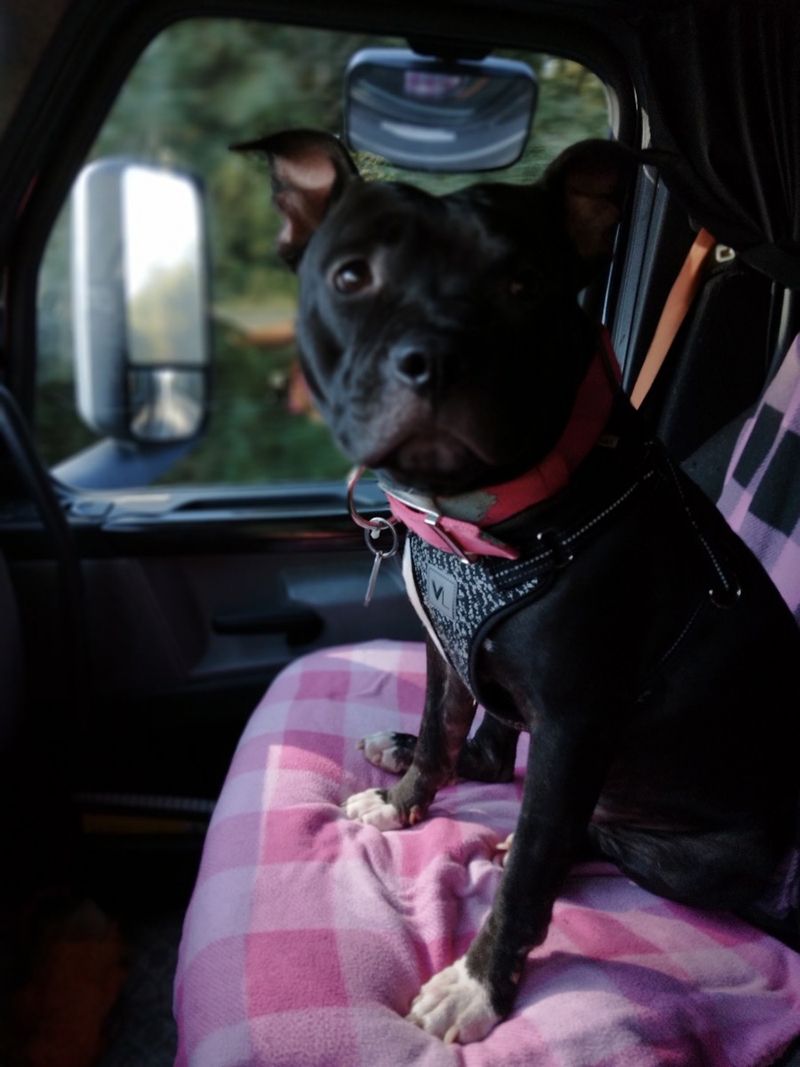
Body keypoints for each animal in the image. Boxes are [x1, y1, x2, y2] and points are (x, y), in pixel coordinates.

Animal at [243, 131, 800, 1041]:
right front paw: (402, 797)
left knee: (584, 834)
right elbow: (444, 735)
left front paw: (478, 983)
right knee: (492, 752)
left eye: (522, 285)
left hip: (687, 853)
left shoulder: (575, 725)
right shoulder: (443, 647)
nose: (434, 359)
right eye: (352, 276)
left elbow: (533, 867)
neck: (478, 519)